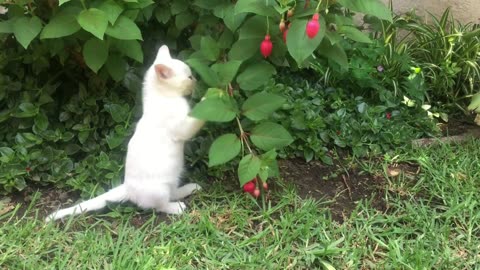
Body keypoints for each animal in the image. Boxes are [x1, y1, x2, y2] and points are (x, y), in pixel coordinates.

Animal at [47, 44, 206, 221]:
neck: (163, 97)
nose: (196, 80)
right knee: (160, 206)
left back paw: (191, 188)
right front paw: (207, 99)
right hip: (161, 189)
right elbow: (195, 119)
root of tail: (127, 187)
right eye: (189, 77)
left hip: (173, 180)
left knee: (173, 193)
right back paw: (177, 207)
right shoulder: (182, 128)